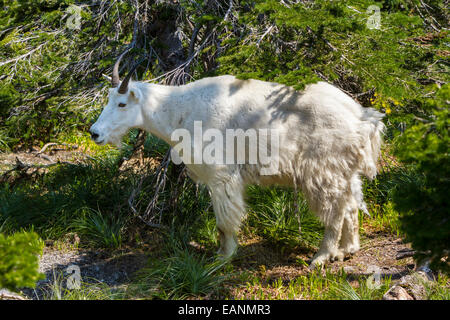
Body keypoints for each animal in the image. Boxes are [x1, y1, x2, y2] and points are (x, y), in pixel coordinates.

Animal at [90, 54, 384, 264]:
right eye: (108, 100)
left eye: (122, 104)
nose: (95, 133)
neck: (179, 111)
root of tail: (362, 118)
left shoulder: (221, 175)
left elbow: (224, 221)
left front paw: (223, 257)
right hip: (345, 169)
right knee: (351, 203)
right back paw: (347, 250)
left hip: (323, 170)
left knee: (335, 210)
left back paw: (322, 257)